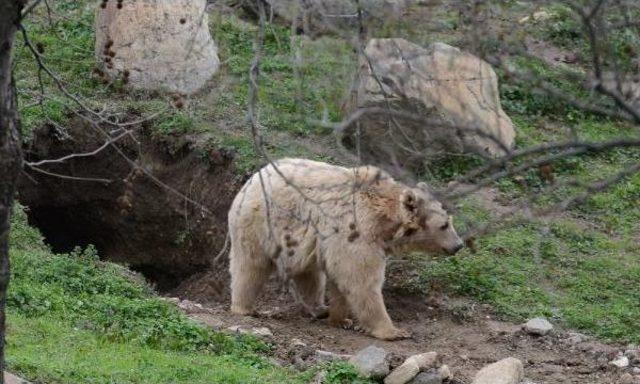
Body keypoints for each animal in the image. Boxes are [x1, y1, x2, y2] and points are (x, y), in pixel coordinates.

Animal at [228, 158, 462, 340]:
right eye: (444, 225)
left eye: (449, 220)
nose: (458, 245)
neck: (384, 222)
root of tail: (251, 180)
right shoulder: (357, 232)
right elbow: (361, 279)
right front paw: (394, 331)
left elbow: (342, 278)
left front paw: (341, 319)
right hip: (260, 224)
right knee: (250, 266)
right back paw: (244, 307)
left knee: (310, 275)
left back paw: (319, 309)